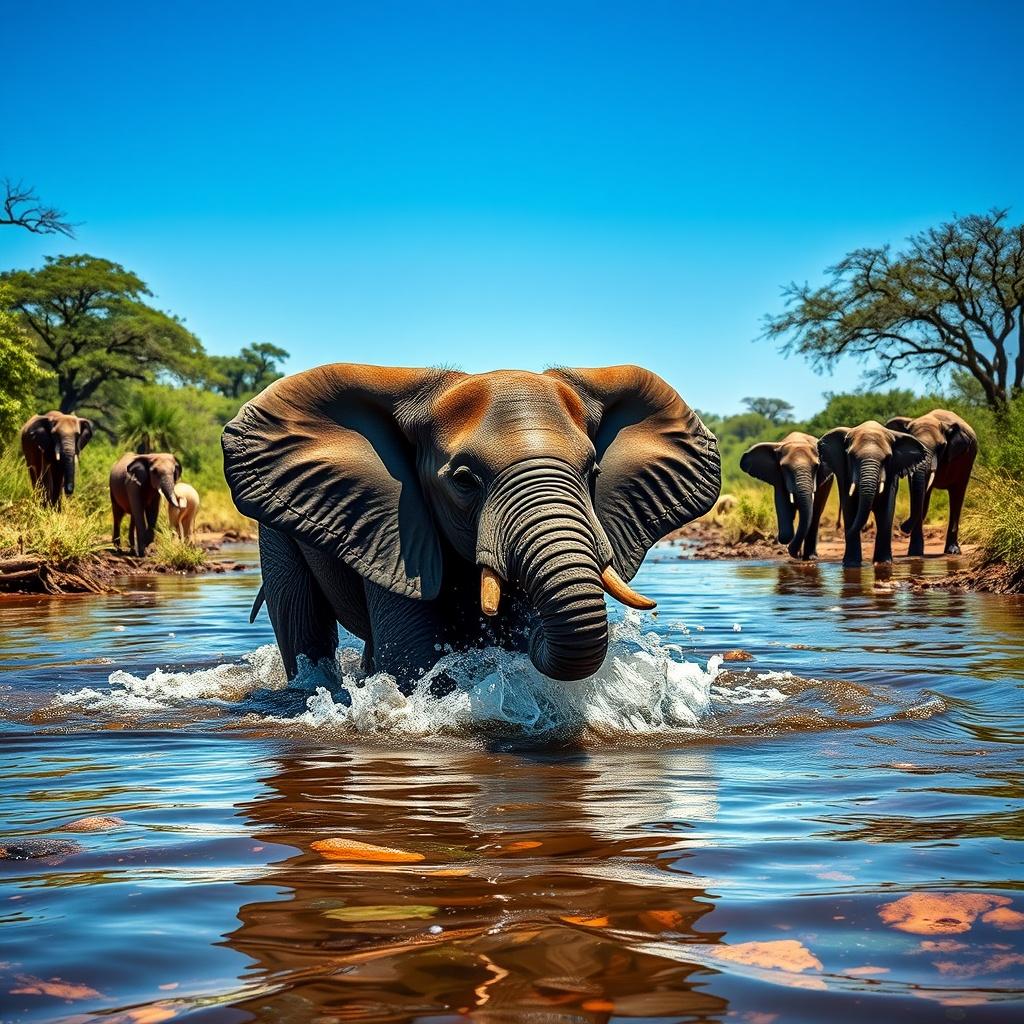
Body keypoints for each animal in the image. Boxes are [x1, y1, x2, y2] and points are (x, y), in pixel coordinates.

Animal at [222, 363, 721, 686]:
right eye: (463, 481)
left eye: (593, 471)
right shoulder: (395, 527)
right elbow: (414, 657)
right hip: (276, 532)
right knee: (300, 621)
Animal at [739, 432, 834, 560]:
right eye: (784, 467)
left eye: (816, 466)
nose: (795, 553)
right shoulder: (778, 476)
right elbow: (783, 508)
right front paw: (789, 544)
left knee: (816, 514)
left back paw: (810, 557)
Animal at [818, 421, 927, 567]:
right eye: (851, 456)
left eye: (888, 458)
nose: (903, 527)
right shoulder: (844, 473)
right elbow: (849, 507)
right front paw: (851, 564)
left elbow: (886, 509)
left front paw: (883, 563)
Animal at [884, 410, 977, 556]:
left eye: (941, 447)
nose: (902, 527)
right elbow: (919, 496)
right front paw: (915, 553)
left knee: (957, 498)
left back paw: (953, 551)